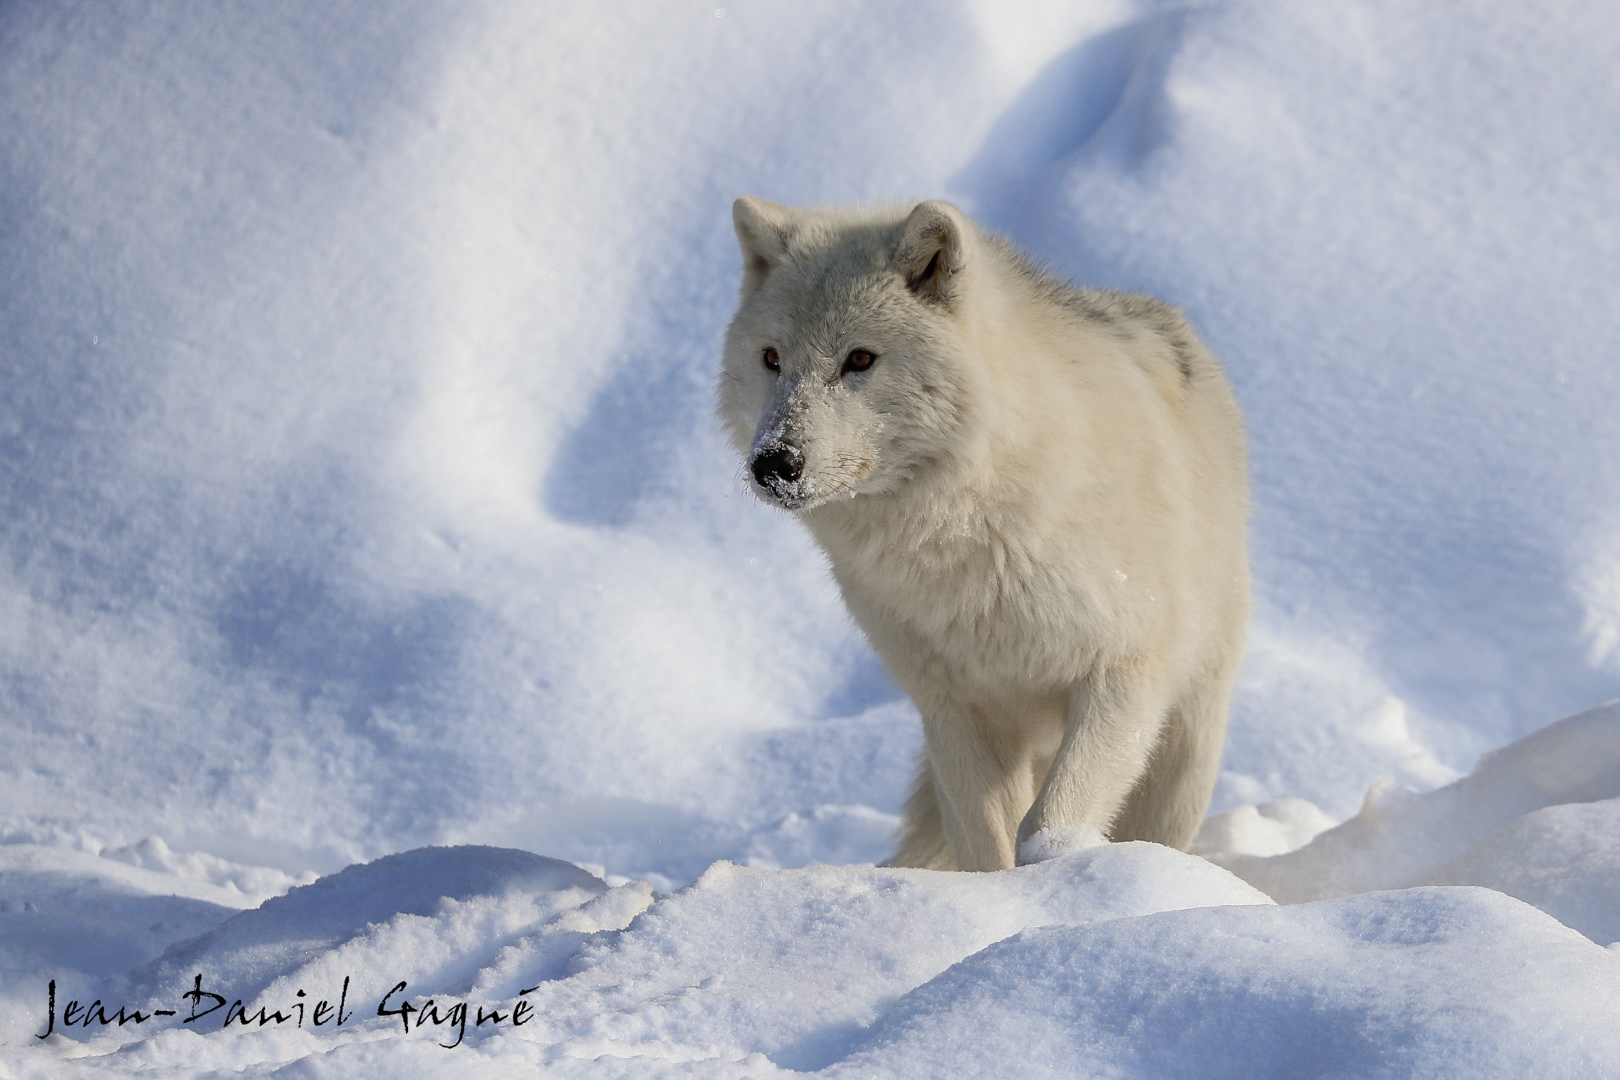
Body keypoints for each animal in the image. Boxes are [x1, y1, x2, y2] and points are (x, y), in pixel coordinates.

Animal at [717, 197, 1250, 871]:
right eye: (772, 359)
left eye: (859, 359)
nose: (774, 463)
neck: (964, 531)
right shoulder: (955, 710)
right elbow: (987, 846)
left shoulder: (1123, 673)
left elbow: (1046, 824)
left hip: (1184, 749)